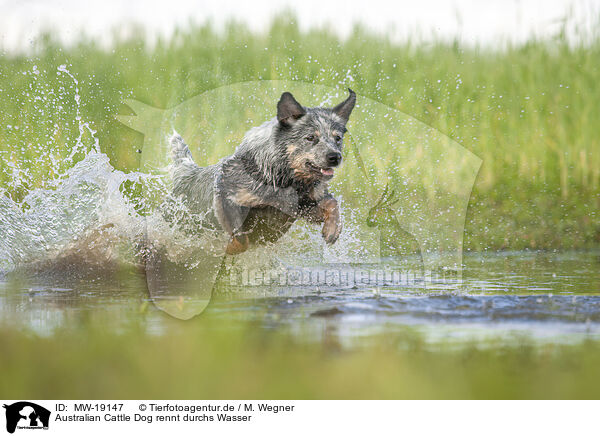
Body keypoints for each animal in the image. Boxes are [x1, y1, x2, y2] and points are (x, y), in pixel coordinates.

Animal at [169, 87, 356, 255]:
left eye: (338, 138)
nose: (335, 157)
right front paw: (230, 249)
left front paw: (333, 229)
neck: (281, 177)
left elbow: (332, 203)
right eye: (311, 137)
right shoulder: (227, 197)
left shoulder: (300, 207)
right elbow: (241, 238)